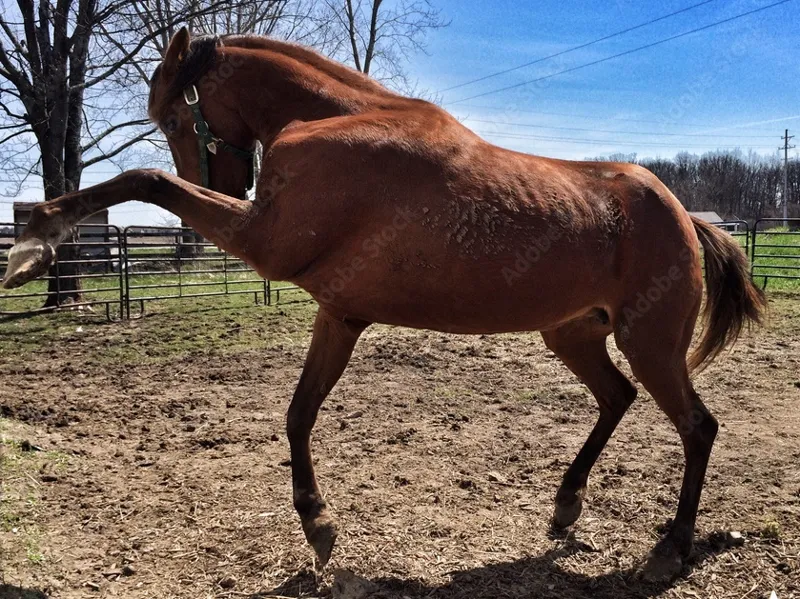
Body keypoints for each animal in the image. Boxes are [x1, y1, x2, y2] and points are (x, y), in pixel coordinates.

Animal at [2, 28, 766, 582]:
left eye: (169, 116)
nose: (221, 183)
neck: (343, 120)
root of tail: (684, 214)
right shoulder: (338, 314)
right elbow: (298, 413)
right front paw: (318, 527)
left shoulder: (263, 240)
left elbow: (145, 178)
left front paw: (33, 238)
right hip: (573, 335)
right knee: (617, 398)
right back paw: (564, 509)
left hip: (651, 343)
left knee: (698, 427)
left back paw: (670, 547)